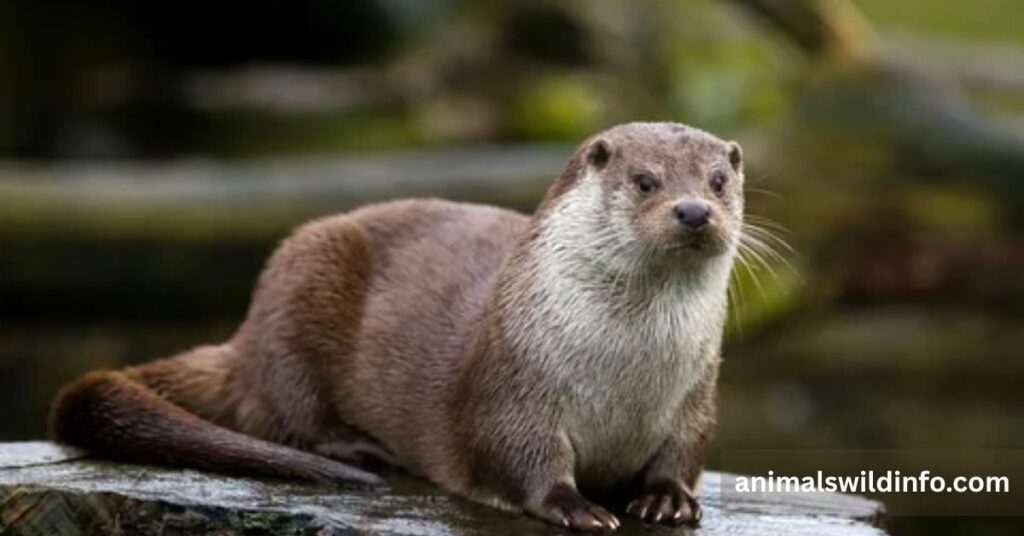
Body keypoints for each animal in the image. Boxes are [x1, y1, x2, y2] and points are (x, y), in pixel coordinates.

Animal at [50, 122, 744, 532]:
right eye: (645, 181)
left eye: (719, 181)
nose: (693, 211)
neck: (626, 377)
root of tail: (244, 339)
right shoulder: (511, 385)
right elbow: (516, 456)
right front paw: (576, 506)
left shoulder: (697, 396)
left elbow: (685, 452)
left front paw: (667, 499)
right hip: (299, 286)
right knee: (280, 413)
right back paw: (360, 449)